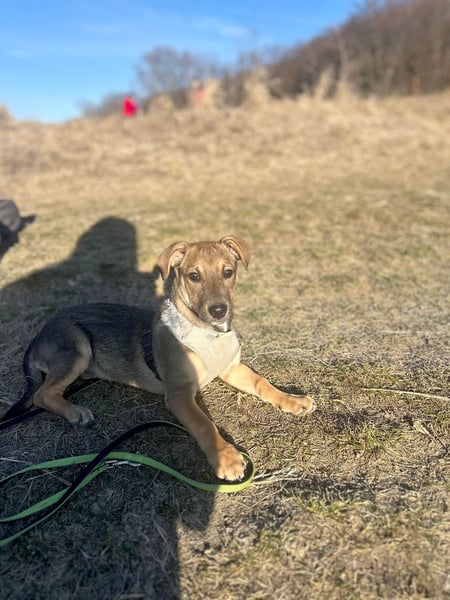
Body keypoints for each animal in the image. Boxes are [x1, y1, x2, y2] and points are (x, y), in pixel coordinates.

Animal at [2, 235, 316, 480]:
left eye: (228, 272)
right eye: (194, 276)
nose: (219, 310)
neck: (208, 335)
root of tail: (37, 336)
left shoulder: (232, 368)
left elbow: (263, 383)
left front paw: (292, 400)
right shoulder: (178, 395)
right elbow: (205, 423)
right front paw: (226, 457)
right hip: (76, 345)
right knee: (42, 393)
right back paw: (75, 412)